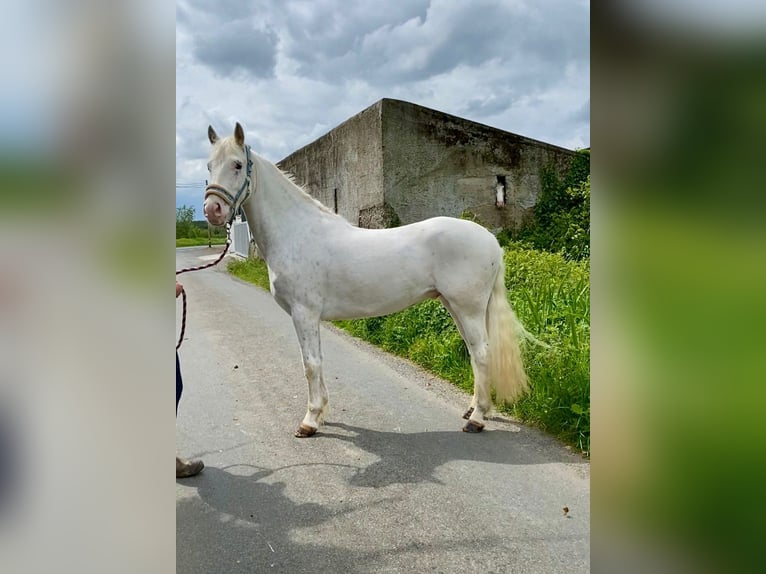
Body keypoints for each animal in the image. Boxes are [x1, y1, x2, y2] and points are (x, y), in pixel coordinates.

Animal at [202, 124, 528, 438]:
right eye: (209, 165)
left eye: (237, 164)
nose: (212, 210)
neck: (298, 232)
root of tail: (491, 241)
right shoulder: (308, 317)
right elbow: (317, 361)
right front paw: (321, 414)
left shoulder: (304, 313)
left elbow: (311, 364)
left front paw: (309, 422)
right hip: (455, 306)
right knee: (474, 353)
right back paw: (472, 408)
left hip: (468, 307)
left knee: (482, 353)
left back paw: (477, 419)